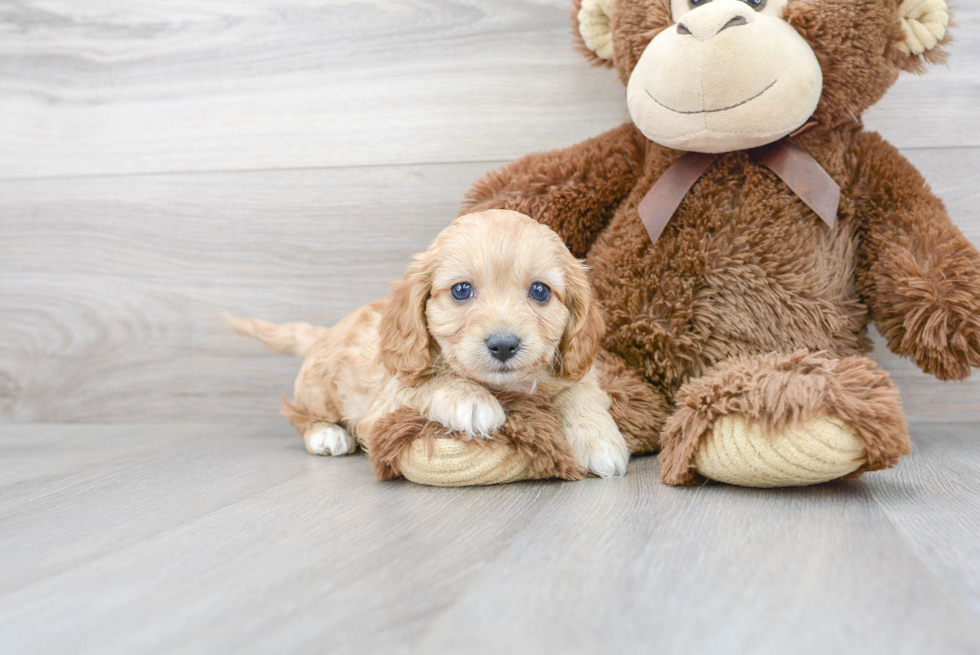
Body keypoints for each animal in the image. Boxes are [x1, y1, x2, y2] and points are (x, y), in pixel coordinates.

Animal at [229, 213, 628, 480]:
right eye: (461, 290)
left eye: (540, 291)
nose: (503, 345)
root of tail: (324, 333)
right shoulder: (386, 402)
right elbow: (428, 382)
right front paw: (470, 399)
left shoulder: (572, 366)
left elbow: (580, 389)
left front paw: (600, 440)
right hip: (319, 390)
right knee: (296, 413)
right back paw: (326, 434)